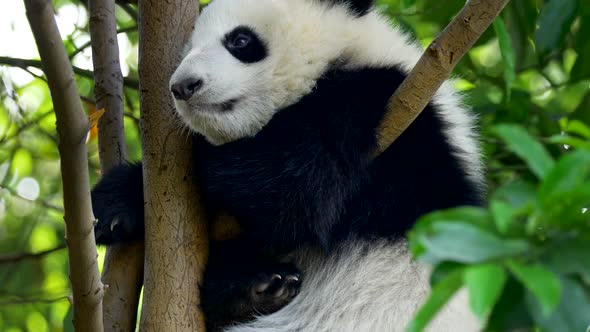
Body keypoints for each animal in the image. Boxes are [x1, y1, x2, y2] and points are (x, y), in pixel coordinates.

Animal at [92, 0, 488, 330]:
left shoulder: (381, 110)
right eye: (188, 49)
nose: (183, 86)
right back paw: (256, 288)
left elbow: (293, 195)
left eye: (240, 40)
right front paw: (114, 206)